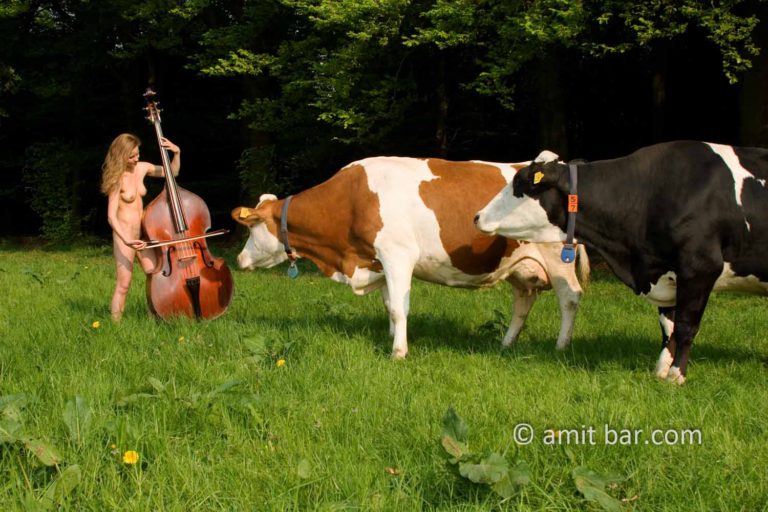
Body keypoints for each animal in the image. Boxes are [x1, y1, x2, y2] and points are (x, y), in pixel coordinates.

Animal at [231, 156, 589, 359]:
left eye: (252, 229)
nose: (239, 260)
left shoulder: (397, 254)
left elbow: (400, 308)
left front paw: (398, 352)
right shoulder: (377, 261)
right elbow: (390, 304)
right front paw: (392, 336)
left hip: (556, 256)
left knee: (570, 298)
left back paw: (560, 347)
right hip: (521, 265)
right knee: (523, 301)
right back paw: (506, 344)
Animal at [474, 141, 768, 384]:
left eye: (520, 183)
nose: (477, 216)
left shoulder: (699, 268)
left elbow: (685, 326)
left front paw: (676, 376)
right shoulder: (664, 273)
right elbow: (668, 327)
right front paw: (660, 370)